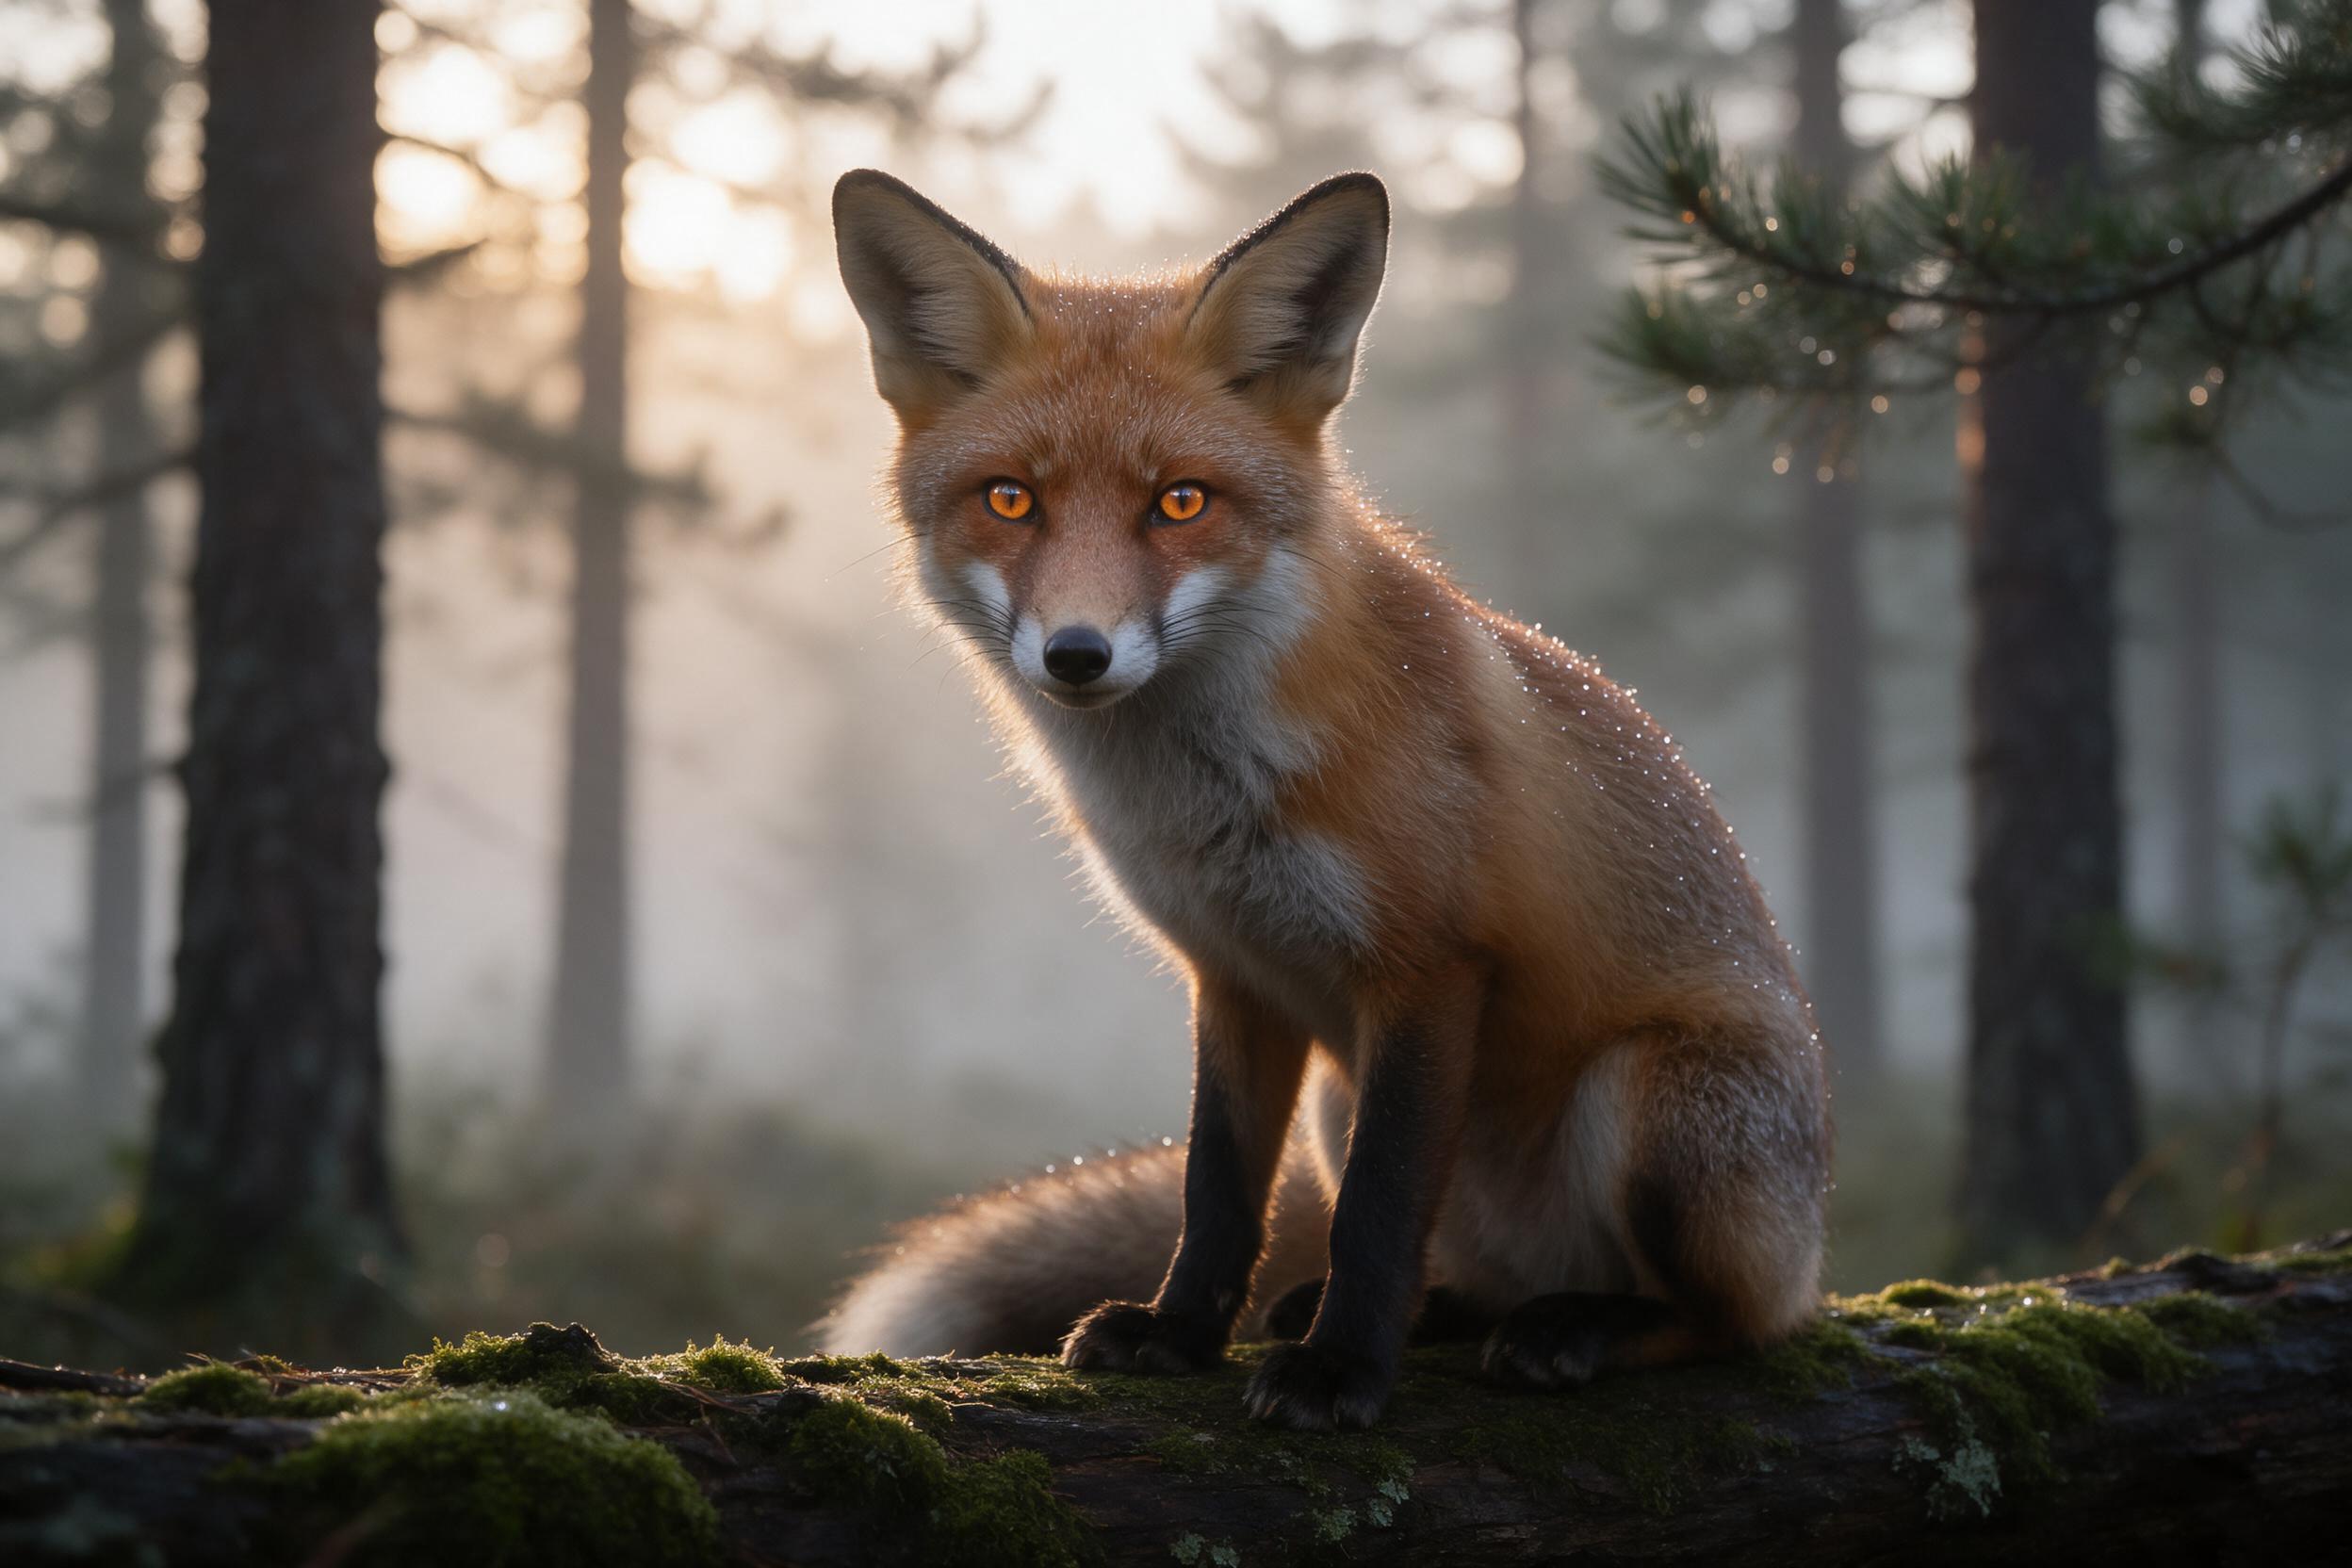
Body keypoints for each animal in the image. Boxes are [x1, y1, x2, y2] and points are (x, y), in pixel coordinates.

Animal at [816, 168, 1832, 1432]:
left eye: (1180, 502)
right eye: (1010, 500)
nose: (1077, 654)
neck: (1206, 796)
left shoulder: (1429, 966)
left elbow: (1378, 1214)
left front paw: (1342, 1370)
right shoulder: (1235, 973)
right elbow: (1216, 1191)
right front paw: (1182, 1333)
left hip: (1651, 1102)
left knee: (1730, 1319)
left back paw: (1577, 1327)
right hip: (1340, 1110)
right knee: (1476, 1276)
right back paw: (1446, 1310)